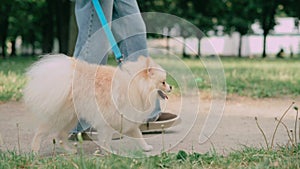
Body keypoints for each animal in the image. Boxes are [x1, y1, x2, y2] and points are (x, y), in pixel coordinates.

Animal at [24, 54, 171, 153]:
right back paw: (35, 150)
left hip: (71, 118)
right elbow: (106, 138)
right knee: (41, 132)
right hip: (60, 117)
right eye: (163, 82)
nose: (171, 87)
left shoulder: (126, 118)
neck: (135, 85)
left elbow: (138, 135)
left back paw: (70, 150)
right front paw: (109, 152)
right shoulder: (108, 120)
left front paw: (146, 147)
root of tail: (67, 74)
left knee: (61, 135)